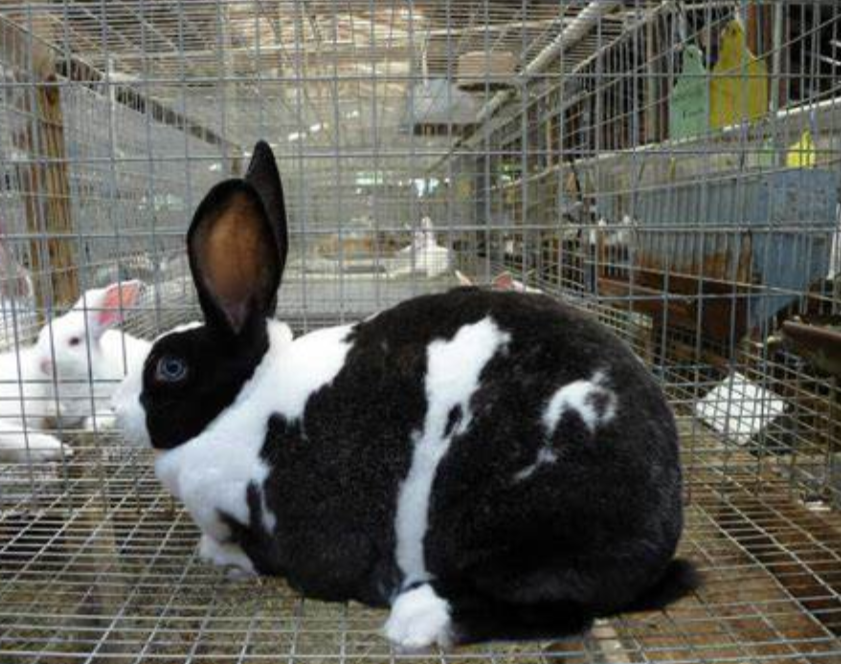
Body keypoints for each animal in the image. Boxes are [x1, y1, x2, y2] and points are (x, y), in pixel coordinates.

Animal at [113, 142, 697, 650]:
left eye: (169, 367)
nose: (117, 407)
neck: (244, 401)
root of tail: (660, 532)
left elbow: (265, 555)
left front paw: (222, 557)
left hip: (522, 520)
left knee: (559, 607)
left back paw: (417, 619)